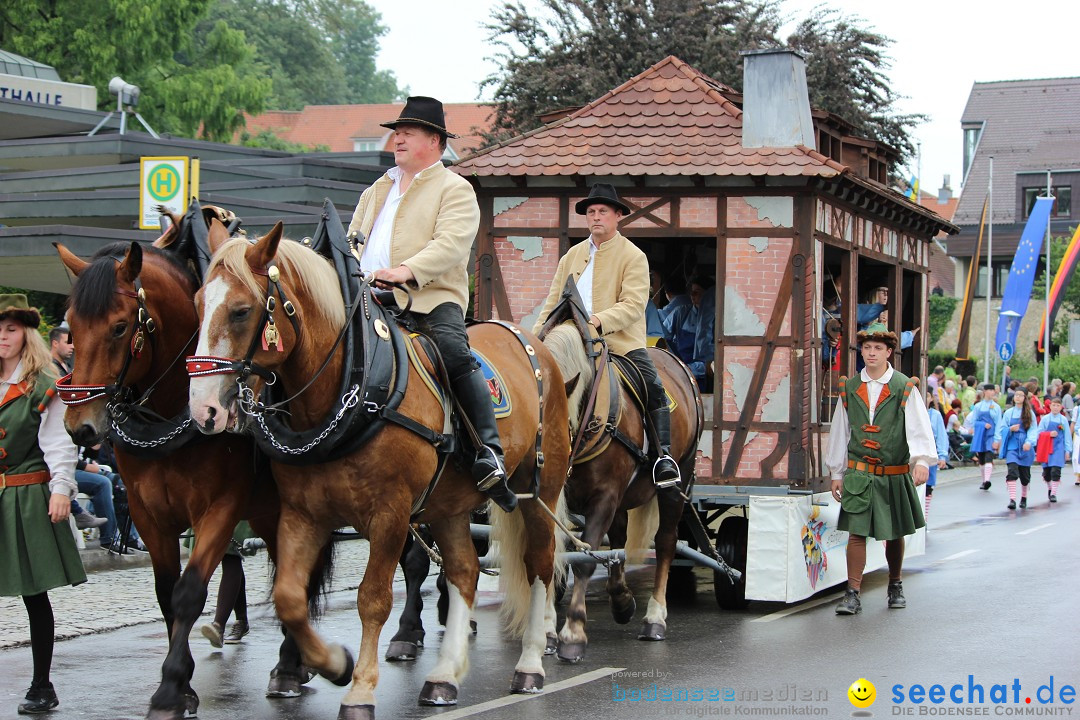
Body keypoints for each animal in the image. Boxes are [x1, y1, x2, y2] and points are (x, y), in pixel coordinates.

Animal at [55, 204, 324, 720]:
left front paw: (170, 688)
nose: (81, 427)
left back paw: (290, 666)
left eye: (120, 326)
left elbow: (190, 592)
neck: (171, 407)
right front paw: (183, 688)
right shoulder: (148, 513)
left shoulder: (220, 507)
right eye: (71, 327)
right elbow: (166, 594)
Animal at [185, 225, 574, 720]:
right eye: (199, 304)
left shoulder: (389, 516)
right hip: (449, 504)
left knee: (539, 565)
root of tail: (530, 341)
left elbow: (373, 599)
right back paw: (444, 676)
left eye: (240, 310)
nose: (204, 409)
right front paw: (332, 664)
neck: (354, 390)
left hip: (538, 490)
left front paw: (360, 690)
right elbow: (290, 598)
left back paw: (530, 663)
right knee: (464, 571)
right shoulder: (303, 514)